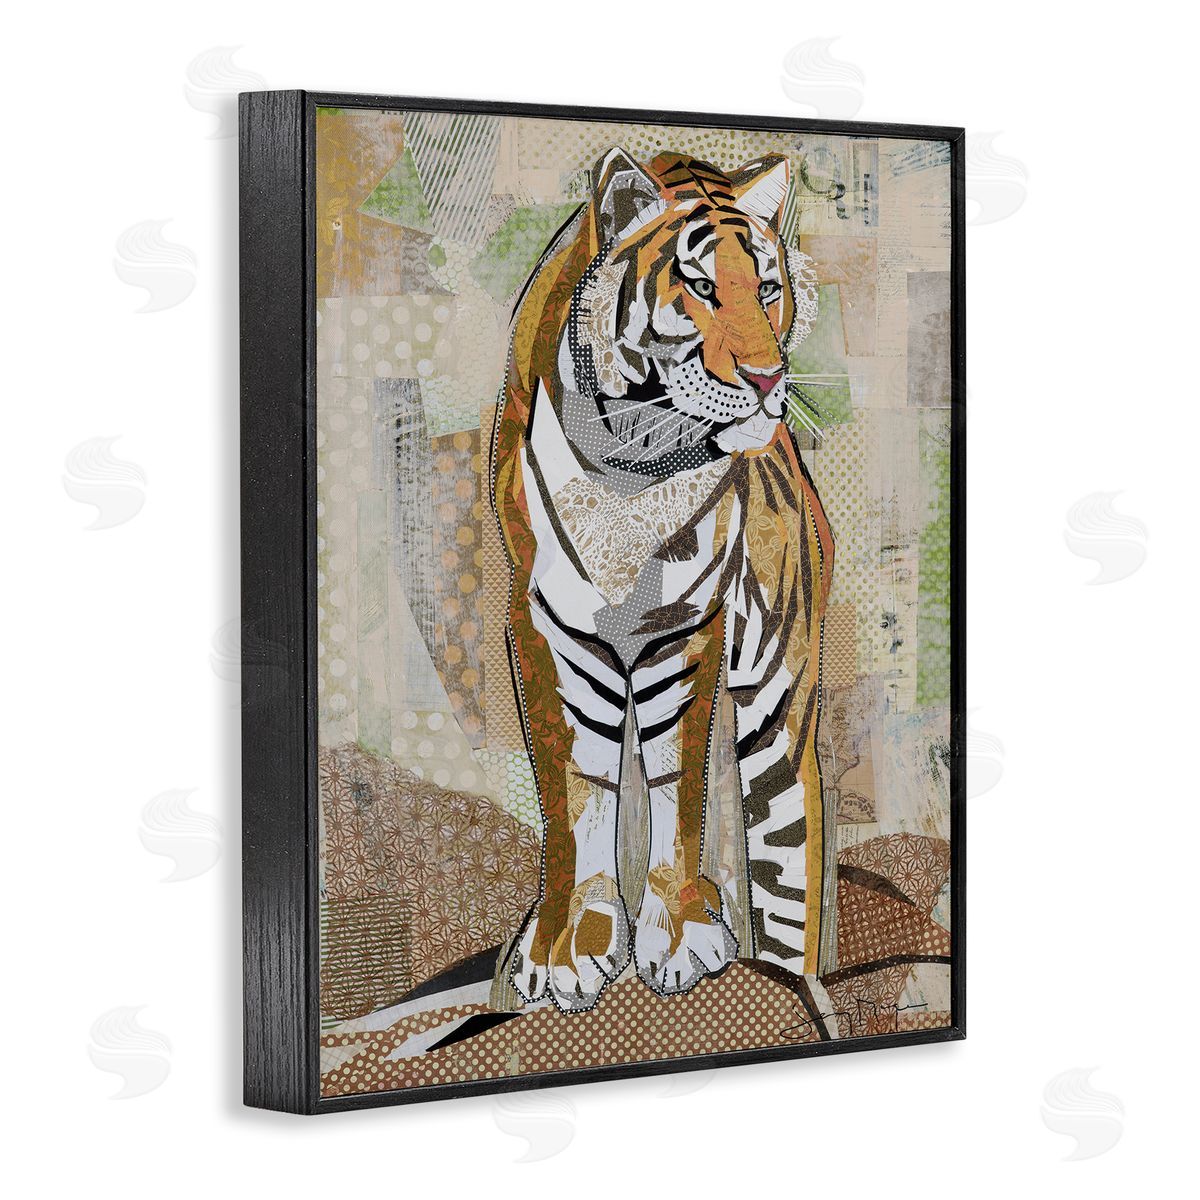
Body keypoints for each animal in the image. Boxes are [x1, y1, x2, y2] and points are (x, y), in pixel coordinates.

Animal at [490, 146, 834, 1013]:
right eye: (703, 288)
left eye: (768, 289)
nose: (767, 379)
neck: (630, 468)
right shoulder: (546, 622)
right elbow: (573, 790)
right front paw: (568, 947)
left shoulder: (685, 627)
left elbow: (679, 790)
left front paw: (679, 937)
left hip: (780, 714)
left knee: (786, 863)